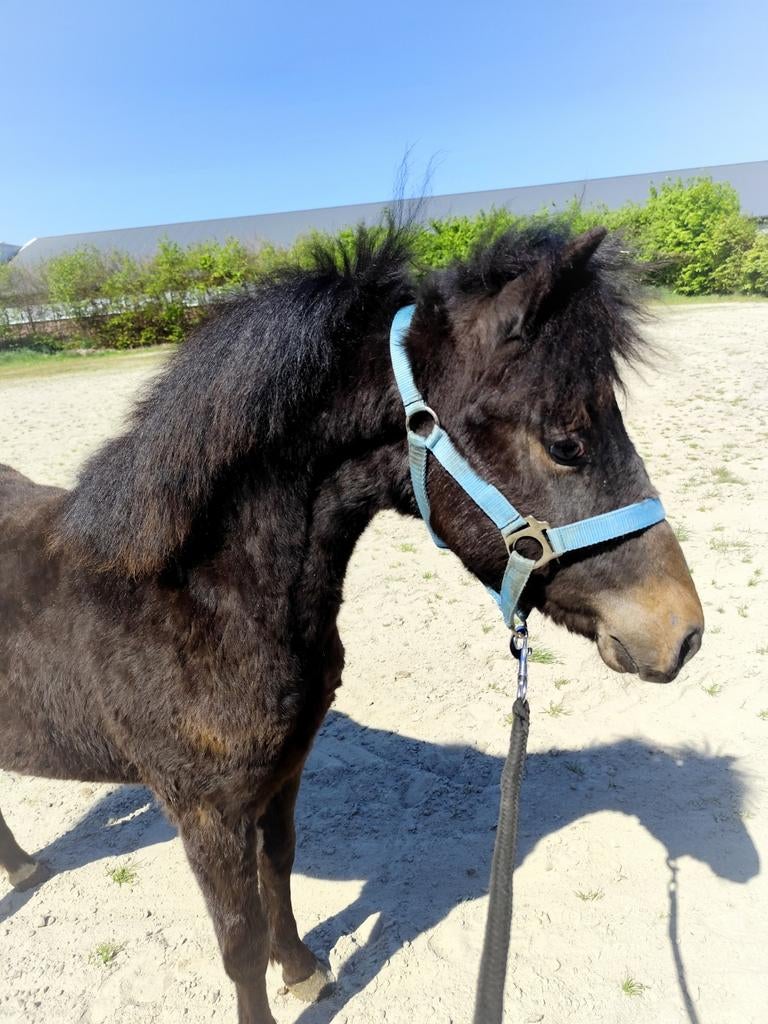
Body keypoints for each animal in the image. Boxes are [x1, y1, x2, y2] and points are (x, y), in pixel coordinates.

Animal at [0, 222, 704, 1024]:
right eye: (566, 442)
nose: (682, 632)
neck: (200, 598)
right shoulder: (206, 812)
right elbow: (239, 944)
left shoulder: (284, 773)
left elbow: (280, 867)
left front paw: (304, 968)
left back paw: (23, 869)